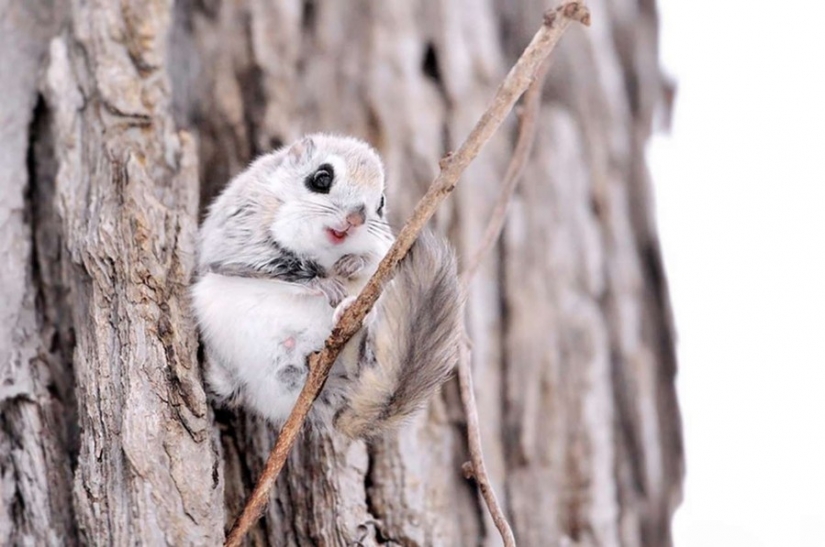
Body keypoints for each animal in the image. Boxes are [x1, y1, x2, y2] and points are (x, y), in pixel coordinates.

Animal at [190, 134, 460, 439]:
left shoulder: (385, 248)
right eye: (321, 178)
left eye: (380, 203)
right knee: (229, 388)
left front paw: (353, 263)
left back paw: (350, 318)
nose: (356, 219)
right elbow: (277, 265)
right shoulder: (241, 234)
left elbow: (374, 260)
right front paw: (325, 283)